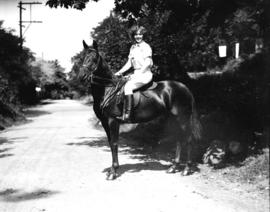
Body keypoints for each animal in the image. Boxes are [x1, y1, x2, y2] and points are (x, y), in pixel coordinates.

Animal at [79, 40, 201, 180]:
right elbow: (110, 143)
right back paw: (173, 167)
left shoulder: (113, 121)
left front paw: (113, 172)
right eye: (83, 57)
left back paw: (186, 169)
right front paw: (112, 170)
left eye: (94, 58)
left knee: (188, 139)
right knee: (179, 139)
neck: (108, 89)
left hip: (182, 118)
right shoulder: (105, 123)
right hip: (174, 118)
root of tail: (184, 87)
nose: (82, 76)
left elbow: (114, 143)